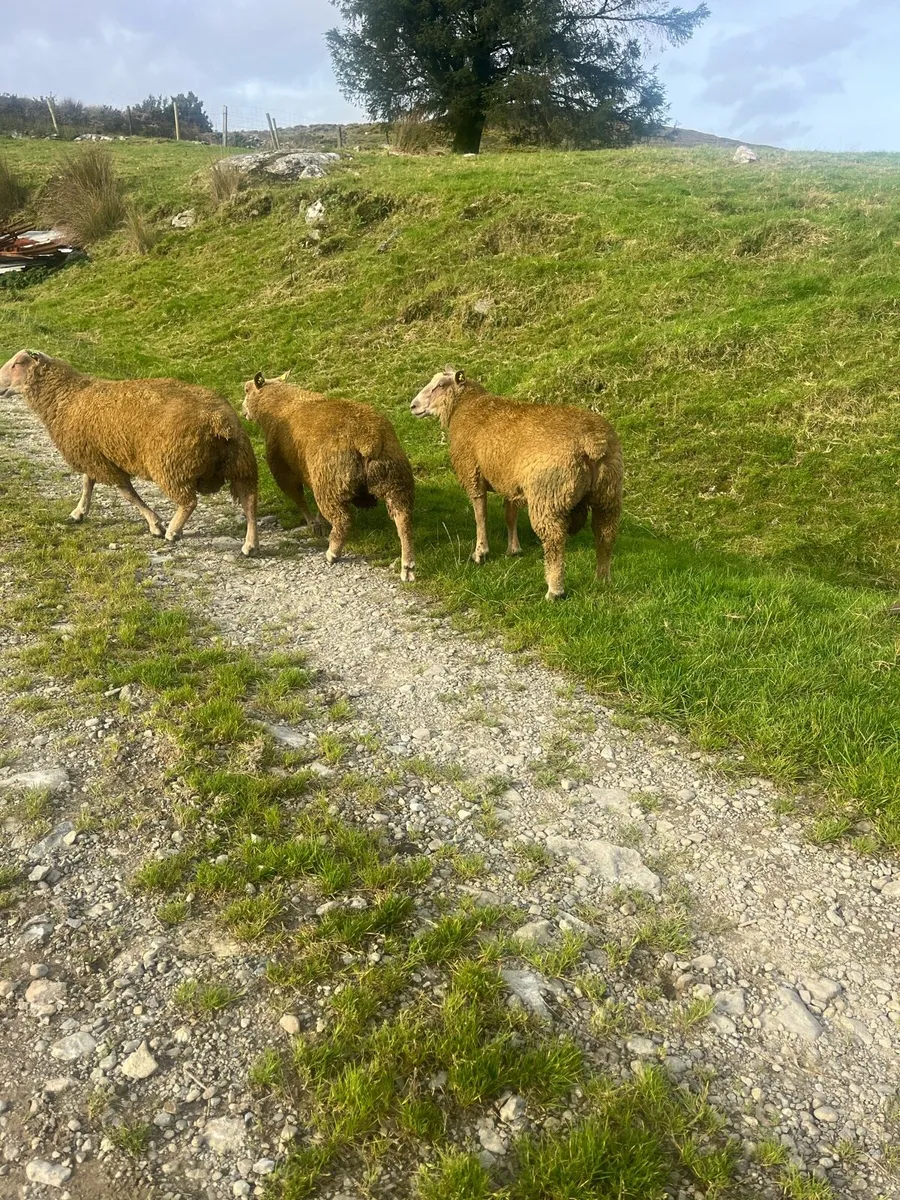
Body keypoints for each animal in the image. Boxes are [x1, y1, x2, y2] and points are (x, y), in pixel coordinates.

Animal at [0, 350, 259, 555]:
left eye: (16, 364)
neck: (66, 396)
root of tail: (220, 422)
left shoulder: (99, 459)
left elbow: (126, 493)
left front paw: (155, 524)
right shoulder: (94, 453)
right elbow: (88, 483)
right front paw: (78, 512)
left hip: (172, 465)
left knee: (189, 502)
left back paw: (173, 531)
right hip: (241, 464)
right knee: (249, 501)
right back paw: (251, 544)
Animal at [242, 371, 416, 581]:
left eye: (246, 390)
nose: (243, 411)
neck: (282, 404)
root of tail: (368, 439)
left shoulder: (283, 470)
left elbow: (298, 498)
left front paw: (313, 524)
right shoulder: (311, 476)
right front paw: (319, 522)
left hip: (331, 484)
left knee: (343, 521)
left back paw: (333, 552)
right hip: (394, 480)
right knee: (403, 519)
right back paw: (407, 566)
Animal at [410, 366, 622, 600]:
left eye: (440, 385)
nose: (413, 406)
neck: (466, 407)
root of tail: (593, 443)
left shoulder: (472, 473)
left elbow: (480, 514)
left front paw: (480, 552)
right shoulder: (509, 481)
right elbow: (510, 516)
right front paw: (513, 549)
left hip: (548, 496)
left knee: (555, 540)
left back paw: (554, 590)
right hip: (608, 494)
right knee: (605, 535)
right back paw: (602, 579)